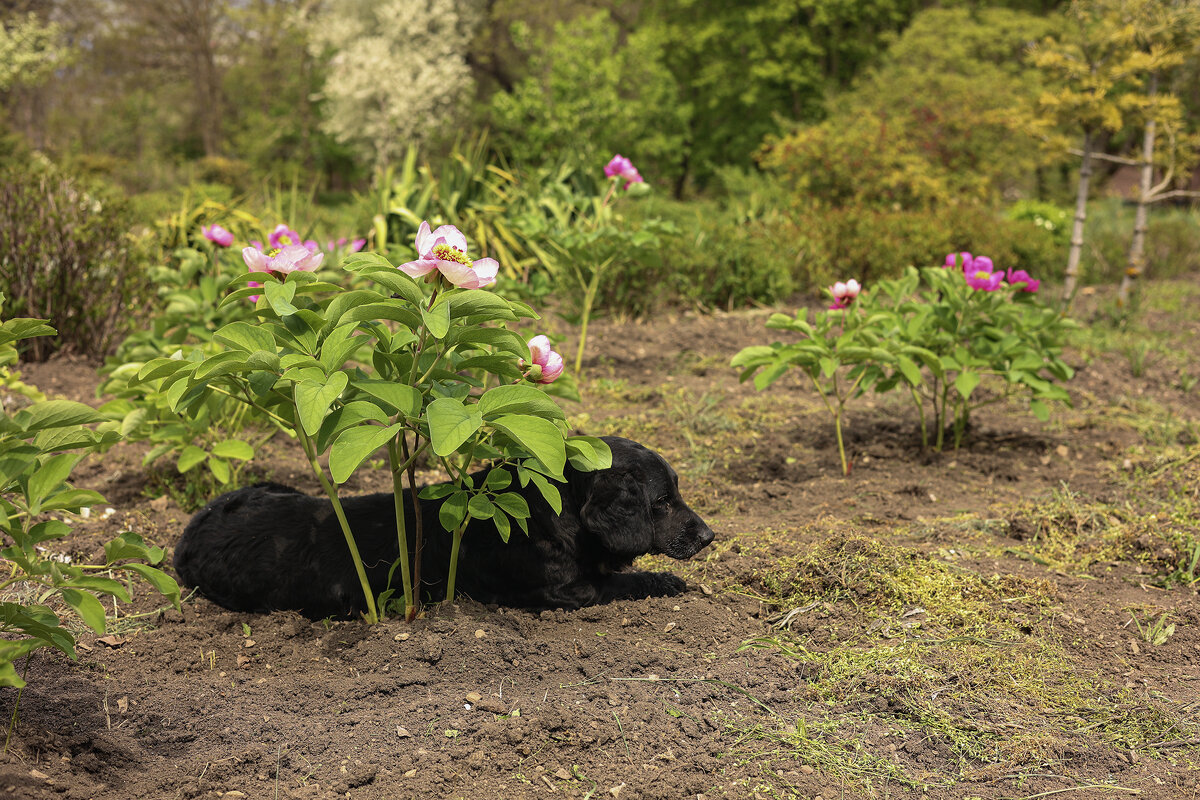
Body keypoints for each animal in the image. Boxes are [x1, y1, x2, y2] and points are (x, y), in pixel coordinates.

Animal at [169, 438, 710, 618]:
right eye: (662, 501)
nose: (710, 537)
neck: (556, 511)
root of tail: (188, 536)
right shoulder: (561, 591)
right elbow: (619, 581)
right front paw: (668, 582)